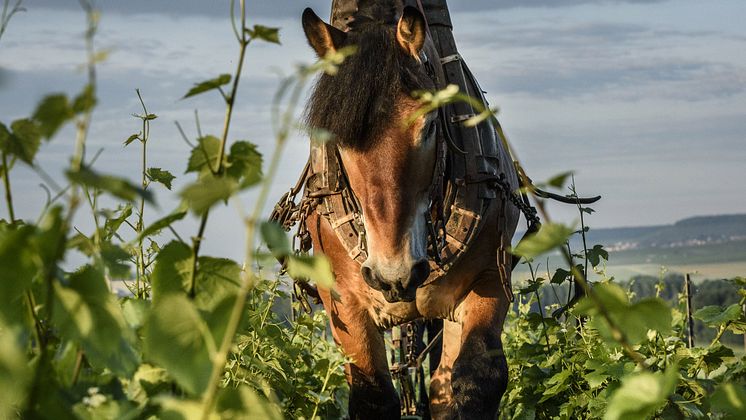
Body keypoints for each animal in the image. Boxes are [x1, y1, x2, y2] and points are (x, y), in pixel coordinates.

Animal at [298, 2, 516, 416]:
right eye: (336, 138)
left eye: (429, 125)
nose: (393, 275)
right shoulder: (344, 301)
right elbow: (372, 392)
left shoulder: (488, 278)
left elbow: (475, 377)